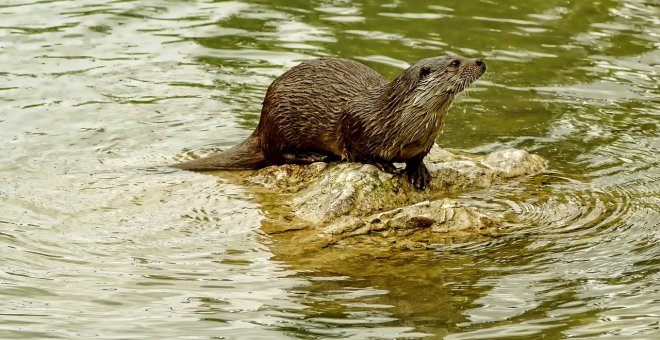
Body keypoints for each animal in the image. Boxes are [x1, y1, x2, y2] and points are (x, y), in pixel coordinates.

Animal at [173, 54, 488, 190]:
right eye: (456, 63)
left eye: (461, 54)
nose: (480, 61)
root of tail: (261, 122)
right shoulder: (356, 123)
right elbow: (359, 151)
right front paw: (382, 164)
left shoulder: (426, 141)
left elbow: (418, 158)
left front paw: (418, 172)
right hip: (280, 121)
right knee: (277, 155)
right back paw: (315, 156)